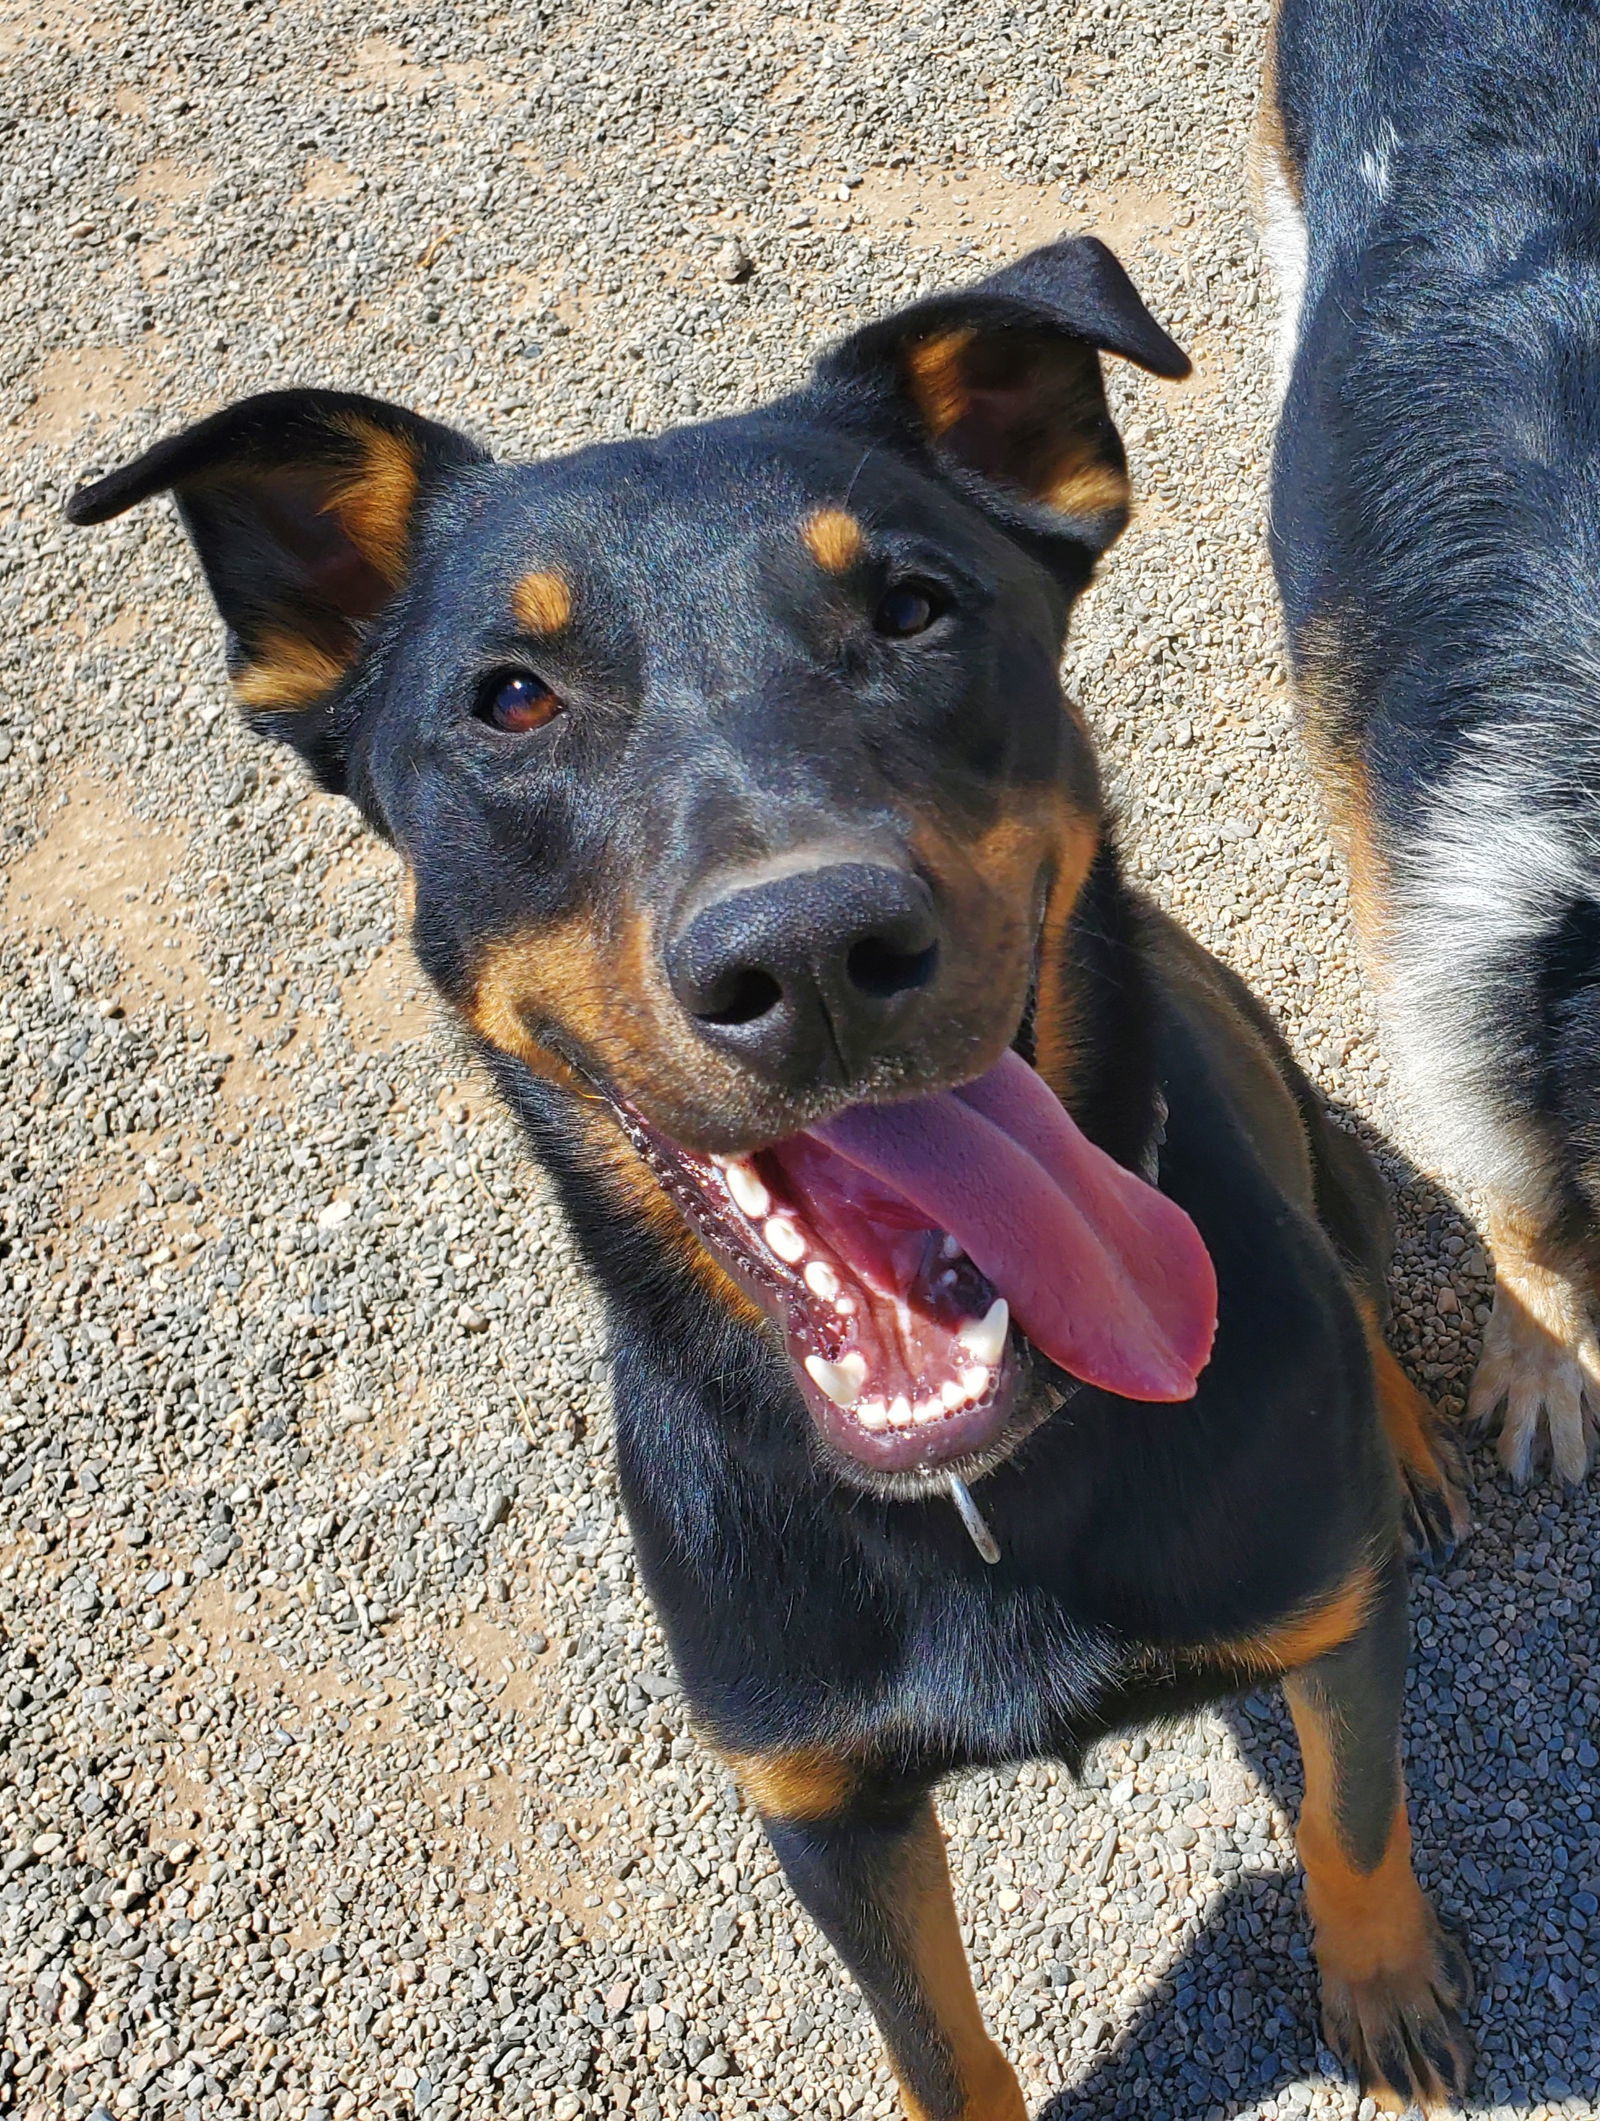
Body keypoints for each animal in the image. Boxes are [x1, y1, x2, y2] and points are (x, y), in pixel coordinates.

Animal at [77, 240, 1468, 2121]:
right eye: (507, 696)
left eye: (915, 610)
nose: (809, 953)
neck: (983, 1489)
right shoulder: (823, 1800)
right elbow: (937, 2040)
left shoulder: (1326, 1622)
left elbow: (1356, 1813)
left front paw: (1386, 1991)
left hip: (1328, 1141)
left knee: (1364, 1282)